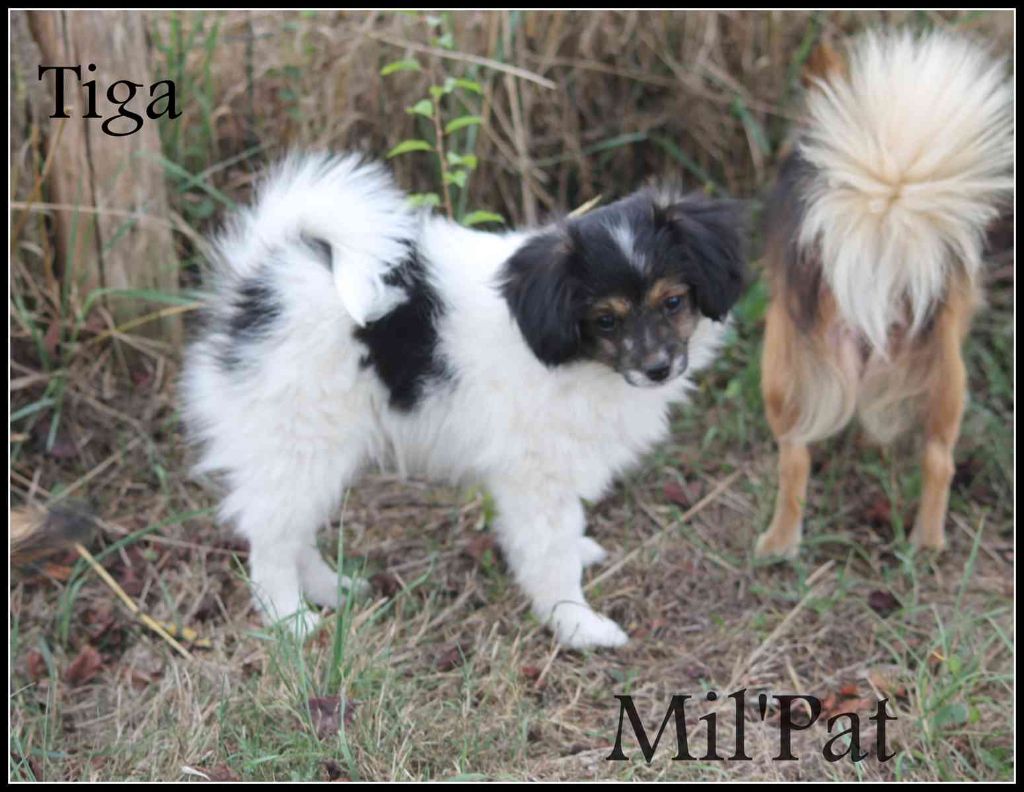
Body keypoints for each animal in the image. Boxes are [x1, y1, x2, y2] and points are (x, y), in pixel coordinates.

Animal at [183, 155, 745, 648]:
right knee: (272, 537)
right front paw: (577, 626)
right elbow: (550, 551)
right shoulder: (535, 474)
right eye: (606, 320)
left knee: (293, 527)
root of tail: (261, 281)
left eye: (673, 302)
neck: (576, 358)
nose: (658, 368)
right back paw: (290, 618)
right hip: (302, 437)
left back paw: (332, 590)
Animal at [755, 31, 1012, 560]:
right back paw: (926, 541)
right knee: (938, 460)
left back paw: (780, 542)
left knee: (795, 458)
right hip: (944, 379)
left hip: (782, 368)